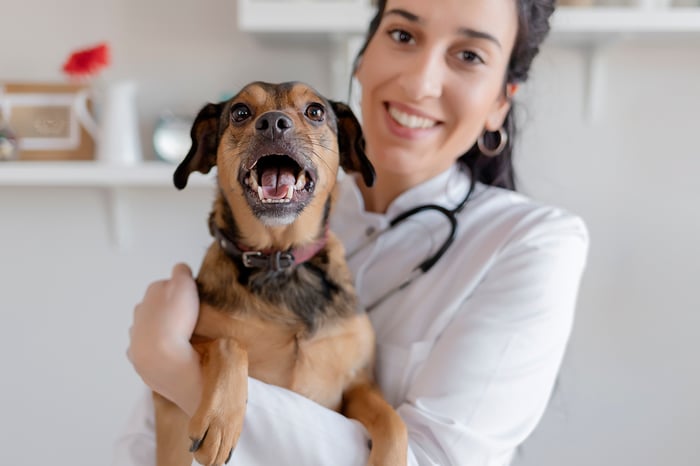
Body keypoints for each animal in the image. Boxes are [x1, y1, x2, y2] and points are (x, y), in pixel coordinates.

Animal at [153, 82, 404, 466]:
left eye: (315, 111)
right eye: (240, 112)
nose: (273, 123)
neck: (280, 260)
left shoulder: (358, 384)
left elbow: (393, 420)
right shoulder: (174, 370)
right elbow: (229, 343)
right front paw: (219, 420)